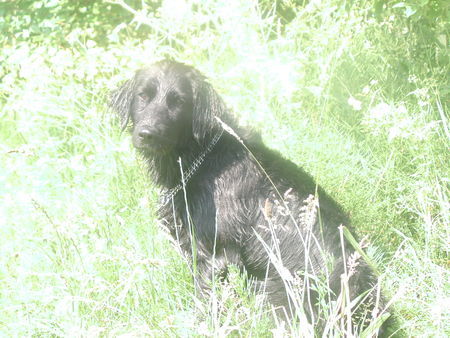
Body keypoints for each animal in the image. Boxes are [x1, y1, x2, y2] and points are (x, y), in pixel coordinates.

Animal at [110, 60, 388, 332]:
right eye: (143, 96)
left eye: (178, 102)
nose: (148, 134)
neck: (204, 158)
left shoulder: (218, 256)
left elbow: (205, 302)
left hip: (270, 293)